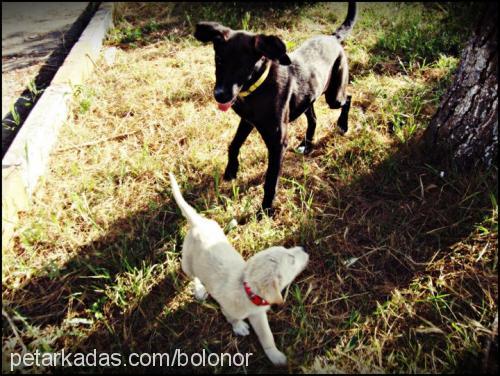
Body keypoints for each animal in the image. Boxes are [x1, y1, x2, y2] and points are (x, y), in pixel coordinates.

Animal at [169, 174, 308, 368]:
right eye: (292, 260)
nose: (304, 249)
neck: (245, 287)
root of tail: (198, 224)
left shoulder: (258, 314)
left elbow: (267, 336)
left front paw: (275, 356)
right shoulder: (228, 309)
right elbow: (232, 318)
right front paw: (239, 326)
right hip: (187, 263)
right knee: (193, 276)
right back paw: (199, 289)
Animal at [194, 2, 356, 214]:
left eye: (242, 65)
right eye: (219, 59)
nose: (219, 95)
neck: (257, 87)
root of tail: (332, 37)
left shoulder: (277, 142)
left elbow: (271, 179)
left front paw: (265, 209)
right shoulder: (247, 121)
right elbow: (234, 144)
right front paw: (231, 170)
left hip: (334, 96)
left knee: (348, 98)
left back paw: (343, 125)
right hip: (307, 98)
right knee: (313, 118)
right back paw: (306, 144)